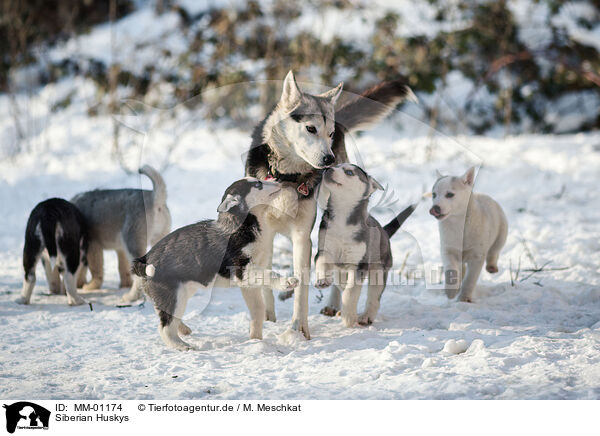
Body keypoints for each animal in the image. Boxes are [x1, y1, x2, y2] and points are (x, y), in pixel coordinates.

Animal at [72, 165, 173, 294]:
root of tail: (154, 197)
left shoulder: (93, 244)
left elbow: (96, 269)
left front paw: (90, 286)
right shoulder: (120, 249)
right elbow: (123, 268)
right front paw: (124, 285)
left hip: (132, 241)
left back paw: (130, 296)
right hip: (158, 238)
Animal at [132, 177, 300, 350]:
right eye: (258, 184)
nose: (279, 181)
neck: (246, 225)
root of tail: (144, 258)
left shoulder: (248, 283)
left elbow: (258, 310)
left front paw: (255, 340)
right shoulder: (242, 269)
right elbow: (270, 274)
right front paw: (287, 281)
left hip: (182, 291)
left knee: (165, 314)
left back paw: (183, 329)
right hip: (173, 294)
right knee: (165, 327)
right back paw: (181, 345)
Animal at [314, 164, 418, 328]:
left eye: (349, 172)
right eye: (336, 166)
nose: (328, 168)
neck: (342, 216)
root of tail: (384, 231)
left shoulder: (359, 264)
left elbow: (351, 292)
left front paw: (349, 318)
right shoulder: (325, 250)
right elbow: (323, 264)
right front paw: (323, 280)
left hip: (379, 271)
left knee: (374, 297)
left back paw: (365, 316)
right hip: (340, 272)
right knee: (342, 285)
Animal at [428, 167, 508, 304]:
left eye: (449, 194)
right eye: (434, 195)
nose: (434, 208)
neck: (458, 223)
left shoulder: (477, 256)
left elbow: (470, 279)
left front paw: (464, 299)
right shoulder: (448, 250)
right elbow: (451, 269)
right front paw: (451, 292)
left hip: (502, 233)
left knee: (494, 251)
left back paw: (492, 267)